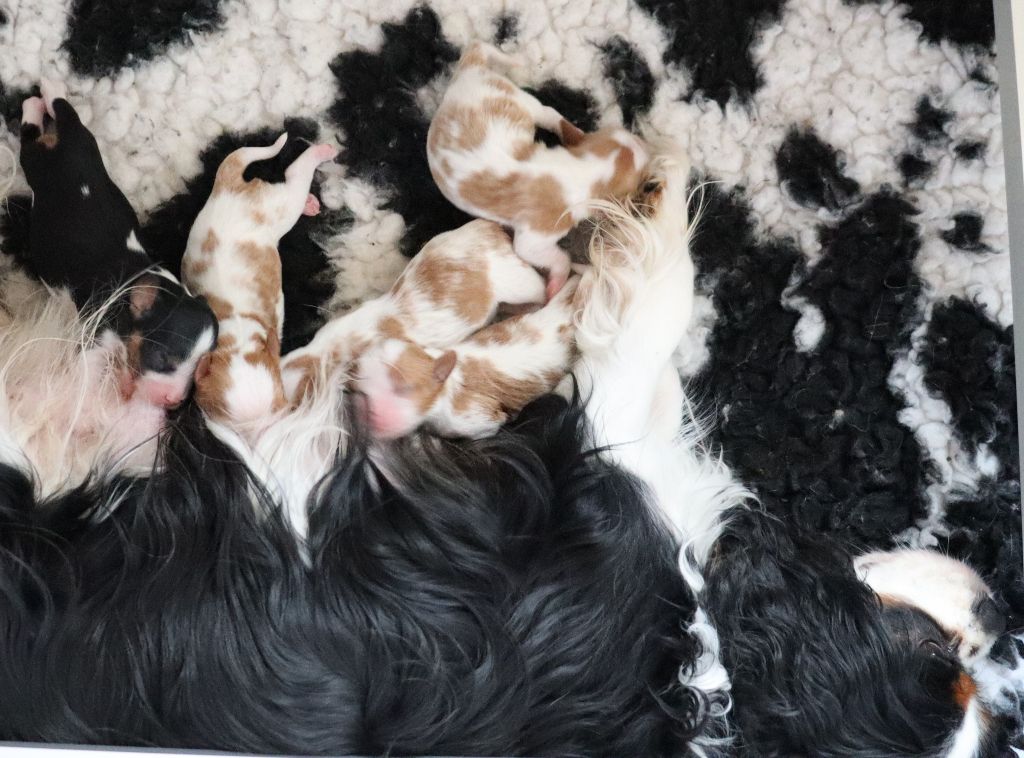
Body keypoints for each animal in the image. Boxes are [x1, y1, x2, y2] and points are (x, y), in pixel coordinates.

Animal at [178, 135, 333, 426]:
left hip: (279, 206)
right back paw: (310, 200)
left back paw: (323, 150)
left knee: (294, 175)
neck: (237, 337)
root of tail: (225, 187)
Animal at [428, 39, 651, 297]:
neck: (583, 167)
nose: (645, 144)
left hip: (518, 99)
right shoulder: (535, 238)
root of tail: (468, 71)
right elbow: (558, 257)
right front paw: (557, 282)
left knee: (545, 110)